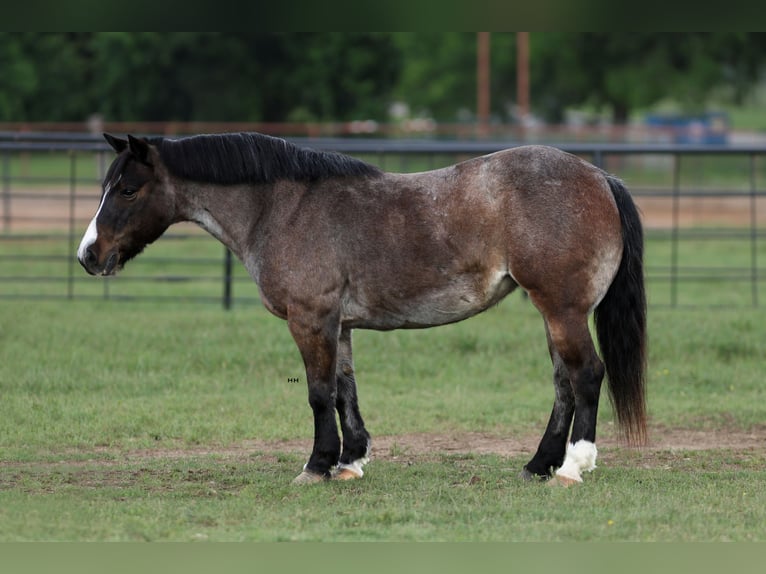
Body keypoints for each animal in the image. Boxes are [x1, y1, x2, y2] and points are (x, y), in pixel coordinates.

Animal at [78, 133, 644, 488]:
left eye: (127, 189)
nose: (88, 256)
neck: (283, 210)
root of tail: (599, 177)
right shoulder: (339, 324)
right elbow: (345, 390)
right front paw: (350, 461)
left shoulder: (311, 320)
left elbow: (318, 394)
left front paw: (316, 466)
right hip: (553, 312)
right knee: (563, 383)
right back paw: (538, 464)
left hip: (562, 310)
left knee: (585, 375)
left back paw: (571, 468)